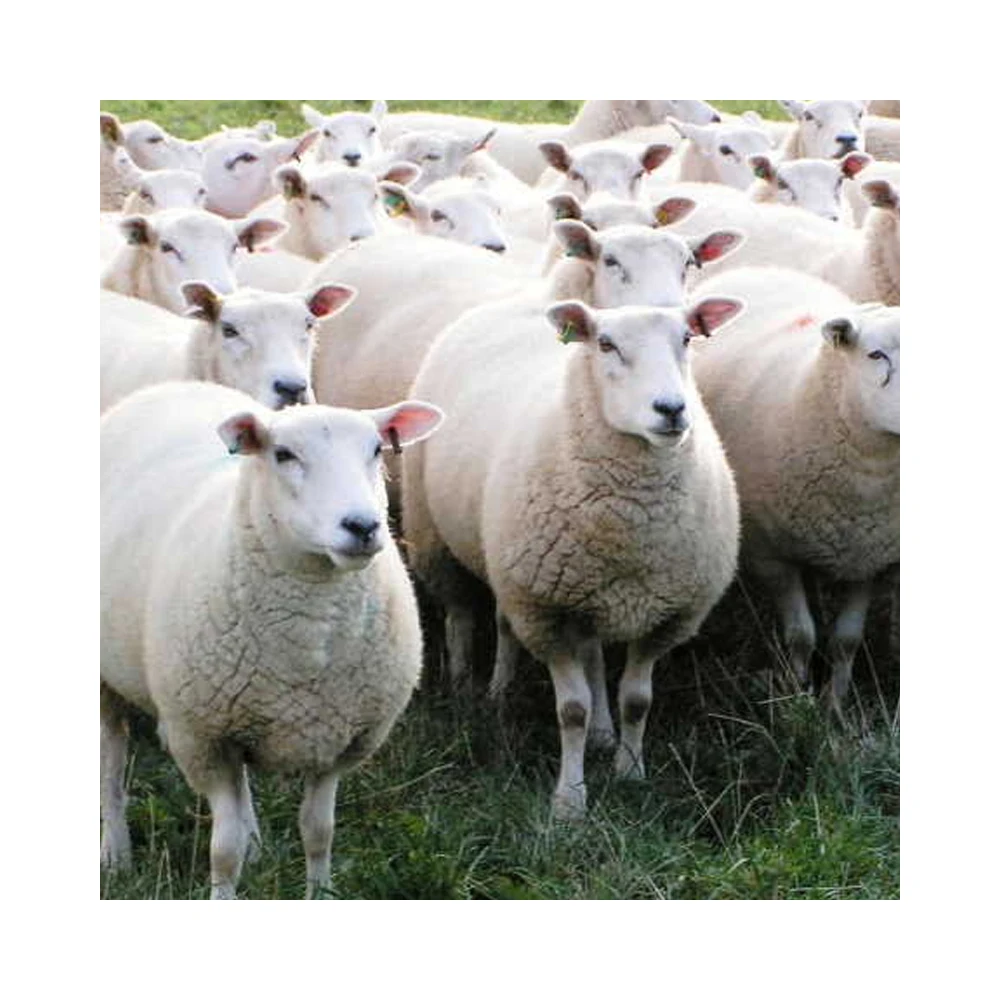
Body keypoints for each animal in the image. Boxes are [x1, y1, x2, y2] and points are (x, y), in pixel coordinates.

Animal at [100, 380, 444, 897]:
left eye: (375, 449)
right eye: (283, 454)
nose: (362, 526)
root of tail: (169, 386)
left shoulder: (336, 741)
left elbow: (319, 832)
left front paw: (319, 893)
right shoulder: (204, 739)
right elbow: (223, 851)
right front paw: (223, 894)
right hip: (108, 683)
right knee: (111, 767)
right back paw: (116, 855)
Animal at [403, 297, 743, 817]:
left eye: (687, 338)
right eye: (605, 344)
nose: (671, 409)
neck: (631, 525)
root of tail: (516, 299)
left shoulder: (667, 615)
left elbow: (637, 700)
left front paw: (630, 772)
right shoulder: (546, 611)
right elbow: (571, 710)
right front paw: (569, 801)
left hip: (568, 586)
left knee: (572, 647)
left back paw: (587, 727)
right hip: (440, 539)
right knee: (462, 614)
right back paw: (471, 690)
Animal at [690, 266, 899, 711]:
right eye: (875, 355)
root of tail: (758, 270)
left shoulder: (868, 556)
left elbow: (846, 640)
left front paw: (835, 703)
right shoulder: (771, 555)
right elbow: (801, 635)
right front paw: (798, 696)